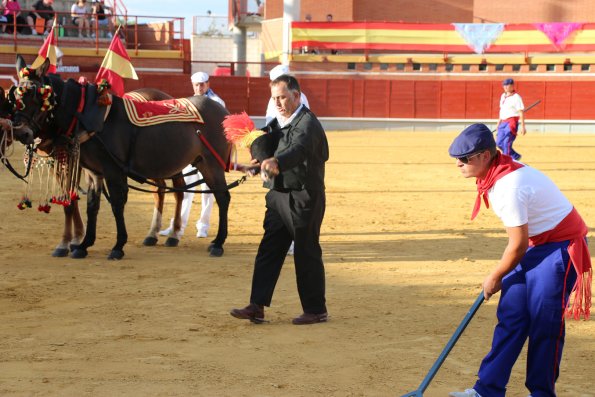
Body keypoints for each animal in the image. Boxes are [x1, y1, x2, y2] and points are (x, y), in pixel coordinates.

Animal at [12, 55, 233, 260]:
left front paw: (117, 246)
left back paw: (217, 242)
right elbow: (92, 206)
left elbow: (117, 205)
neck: (92, 118)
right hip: (194, 163)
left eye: (34, 94)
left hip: (212, 164)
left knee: (220, 197)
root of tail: (221, 109)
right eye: (14, 95)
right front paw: (83, 245)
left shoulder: (113, 170)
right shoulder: (93, 172)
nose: (20, 132)